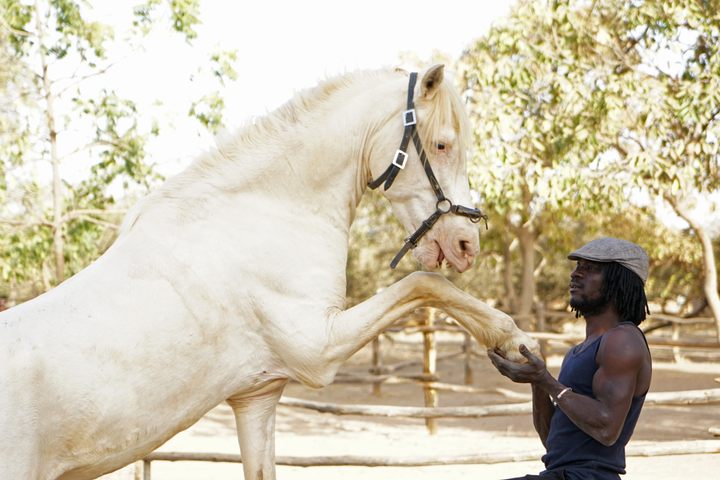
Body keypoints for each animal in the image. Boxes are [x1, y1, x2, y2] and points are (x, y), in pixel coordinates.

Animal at [0, 64, 536, 480]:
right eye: (442, 145)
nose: (466, 245)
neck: (267, 213)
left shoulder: (256, 397)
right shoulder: (317, 349)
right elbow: (425, 284)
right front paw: (513, 342)